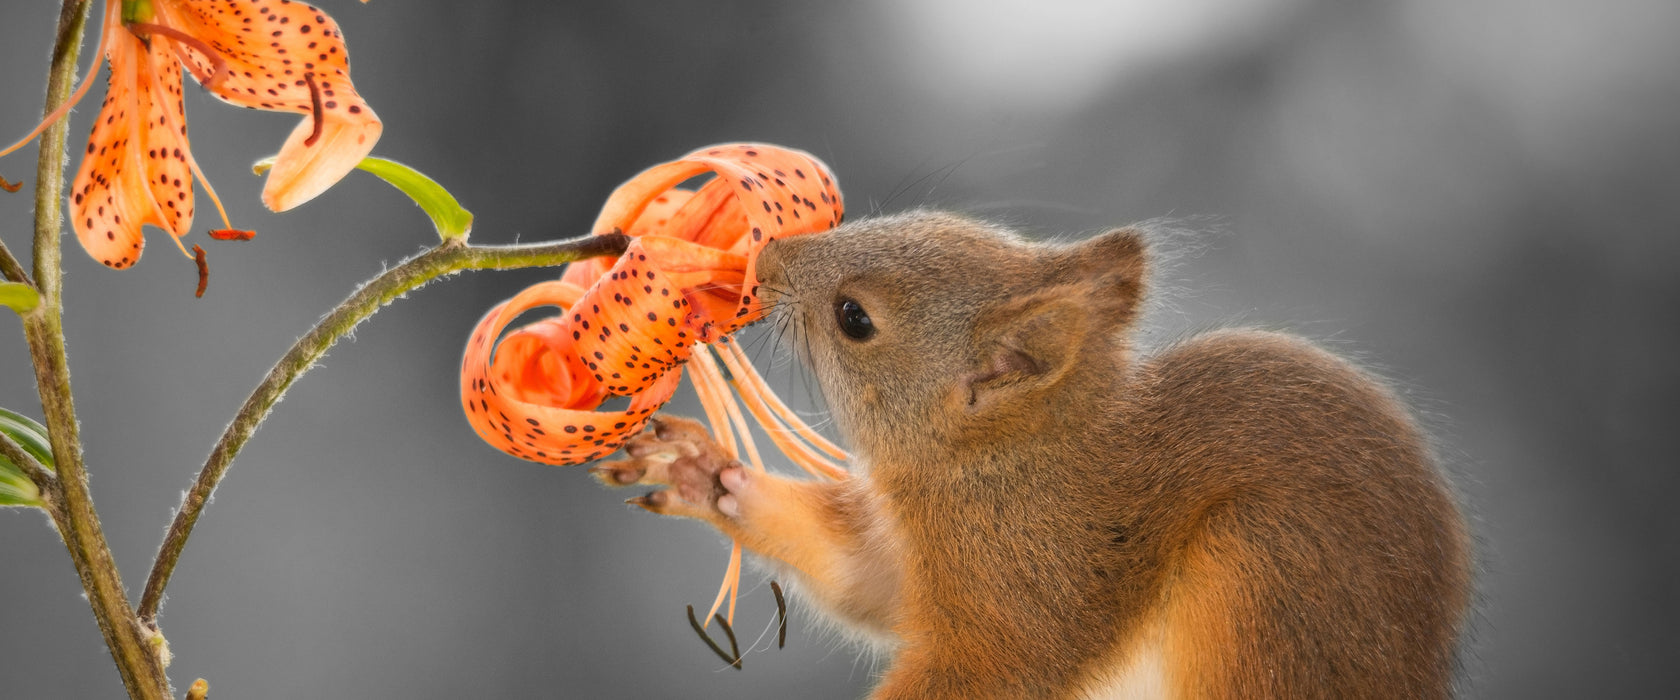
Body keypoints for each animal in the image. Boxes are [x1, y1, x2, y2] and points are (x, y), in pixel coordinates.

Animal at [591, 211, 1471, 698]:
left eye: (854, 319)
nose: (763, 262)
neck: (999, 464)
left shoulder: (1029, 586)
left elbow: (991, 667)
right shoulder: (922, 563)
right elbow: (864, 582)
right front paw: (703, 474)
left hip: (1269, 582)